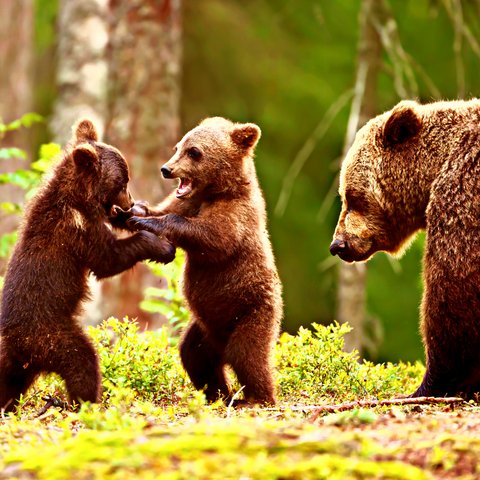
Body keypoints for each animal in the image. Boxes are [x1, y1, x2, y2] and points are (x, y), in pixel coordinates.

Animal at [0, 120, 175, 412]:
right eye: (122, 181)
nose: (129, 201)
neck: (78, 198)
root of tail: (18, 343)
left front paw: (140, 214)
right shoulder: (77, 230)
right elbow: (108, 259)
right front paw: (161, 247)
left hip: (19, 362)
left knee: (9, 382)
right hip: (51, 335)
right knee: (83, 361)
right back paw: (81, 404)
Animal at [124, 116, 284, 404]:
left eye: (194, 151)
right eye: (178, 146)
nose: (166, 169)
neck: (216, 191)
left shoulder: (237, 216)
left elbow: (213, 237)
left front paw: (150, 222)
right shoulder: (187, 202)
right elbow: (164, 209)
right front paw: (136, 211)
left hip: (252, 311)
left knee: (248, 355)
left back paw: (257, 398)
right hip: (204, 328)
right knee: (195, 356)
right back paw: (220, 394)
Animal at [330, 99, 480, 400]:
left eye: (352, 197)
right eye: (344, 196)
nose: (338, 245)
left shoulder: (462, 194)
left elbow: (451, 289)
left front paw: (430, 384)